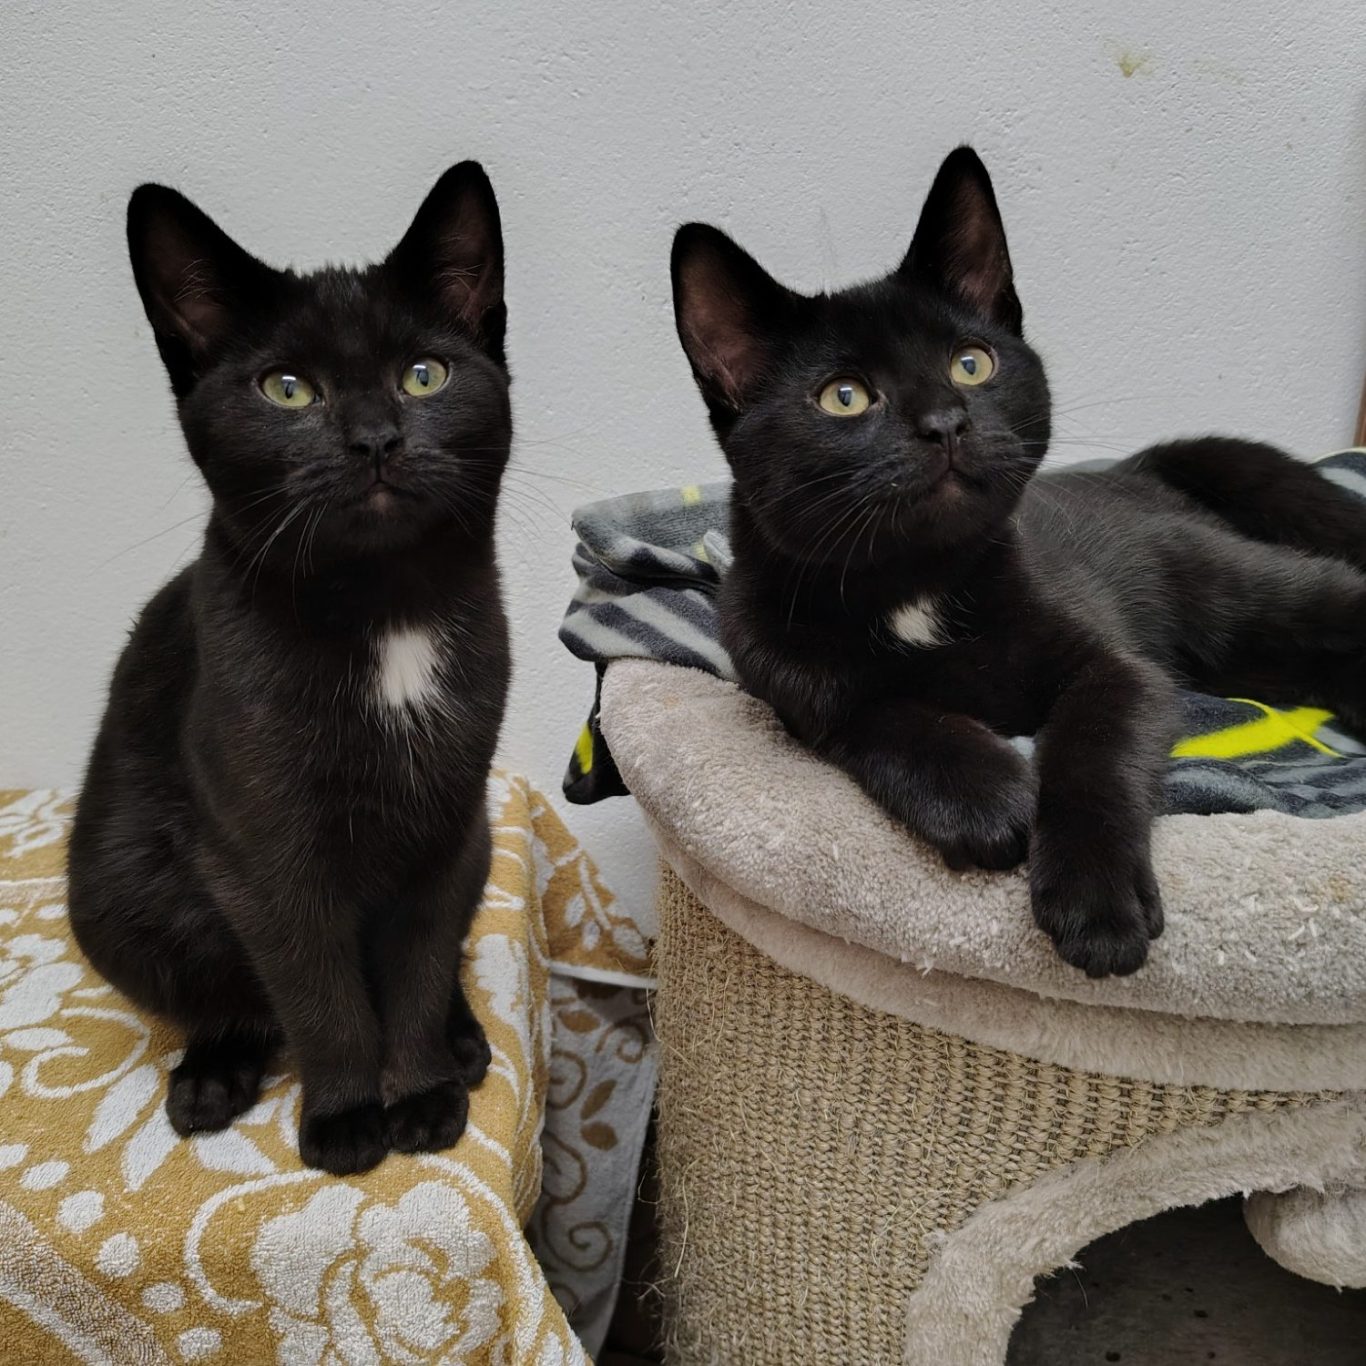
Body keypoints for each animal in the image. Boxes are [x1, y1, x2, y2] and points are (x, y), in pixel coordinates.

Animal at [67, 162, 513, 1174]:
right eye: (287, 390)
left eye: (424, 375)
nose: (376, 437)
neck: (387, 616)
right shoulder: (265, 856)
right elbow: (320, 992)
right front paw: (348, 1116)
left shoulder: (447, 824)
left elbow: (419, 963)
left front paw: (419, 1091)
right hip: (115, 892)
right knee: (228, 995)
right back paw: (213, 1074)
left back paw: (463, 1040)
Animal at [669, 146, 1366, 983]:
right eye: (844, 398)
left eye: (972, 363)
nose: (945, 422)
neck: (916, 587)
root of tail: (1144, 466)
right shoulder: (784, 677)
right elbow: (876, 714)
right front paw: (986, 796)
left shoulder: (1119, 669)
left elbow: (1091, 747)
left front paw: (1096, 900)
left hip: (1240, 590)